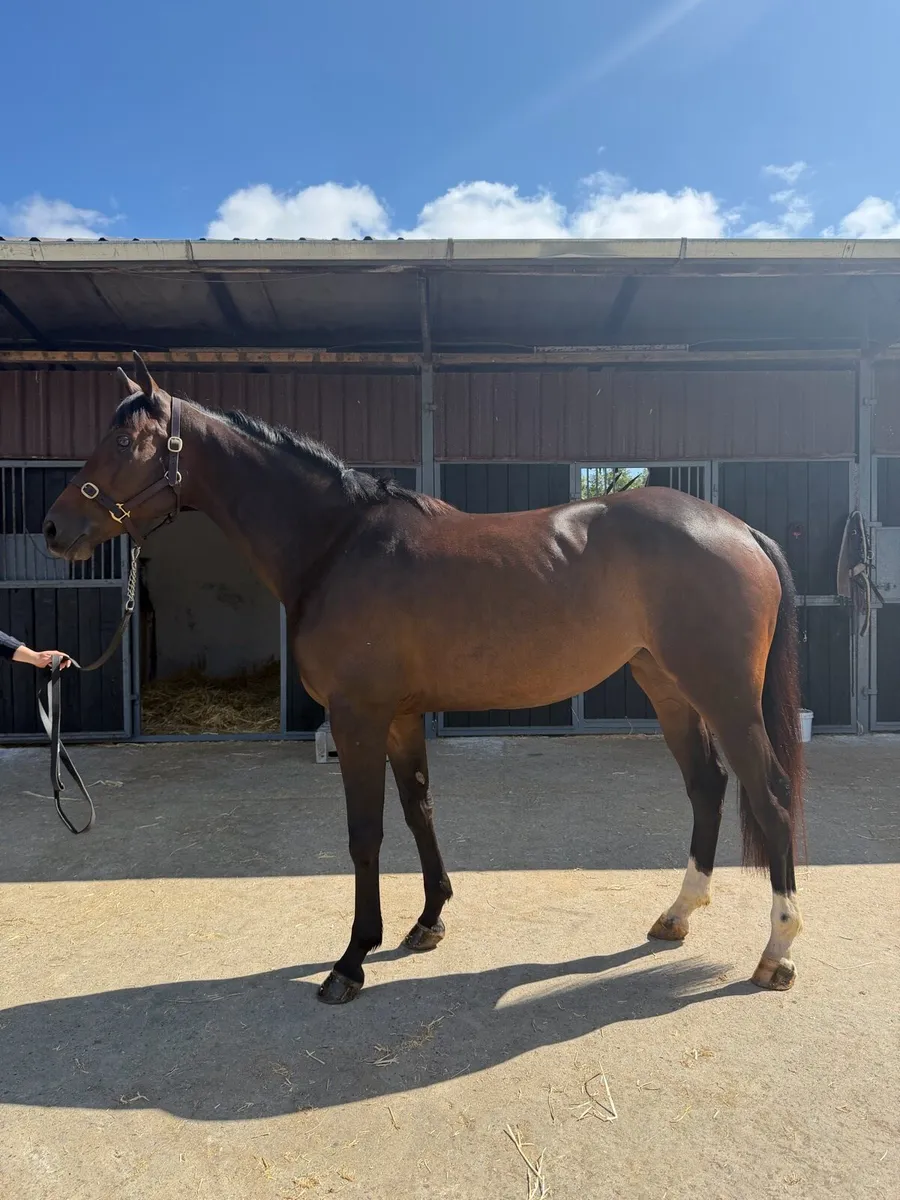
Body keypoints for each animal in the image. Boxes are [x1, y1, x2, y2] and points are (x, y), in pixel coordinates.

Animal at [43, 352, 806, 1004]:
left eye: (124, 443)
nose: (54, 528)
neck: (337, 545)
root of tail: (740, 530)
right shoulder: (401, 715)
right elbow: (419, 810)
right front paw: (428, 922)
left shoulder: (357, 715)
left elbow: (365, 833)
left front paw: (351, 961)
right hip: (667, 686)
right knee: (707, 785)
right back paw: (677, 915)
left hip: (725, 695)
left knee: (769, 797)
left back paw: (777, 953)